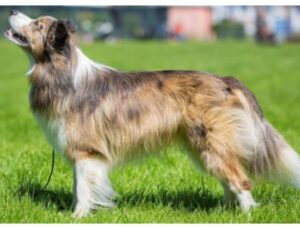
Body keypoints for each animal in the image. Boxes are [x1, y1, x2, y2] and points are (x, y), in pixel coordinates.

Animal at [4, 11, 300, 218]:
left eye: (37, 25)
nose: (12, 10)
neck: (61, 73)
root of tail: (226, 80)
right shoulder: (82, 155)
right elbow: (80, 187)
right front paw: (78, 212)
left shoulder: (85, 151)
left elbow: (84, 188)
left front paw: (77, 217)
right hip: (202, 146)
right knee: (229, 180)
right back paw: (226, 212)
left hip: (211, 142)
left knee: (241, 180)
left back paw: (247, 215)